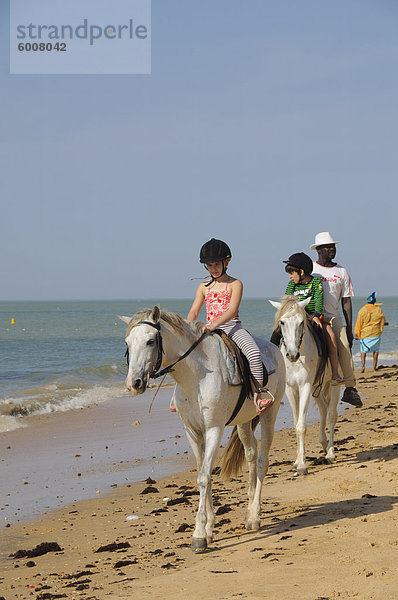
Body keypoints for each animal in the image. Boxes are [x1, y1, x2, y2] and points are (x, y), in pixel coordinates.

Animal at [119, 308, 286, 552]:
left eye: (150, 341)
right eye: (128, 343)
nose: (134, 384)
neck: (195, 376)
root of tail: (273, 348)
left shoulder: (213, 429)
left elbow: (204, 478)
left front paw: (198, 534)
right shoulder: (192, 432)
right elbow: (202, 473)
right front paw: (208, 530)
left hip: (268, 415)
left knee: (263, 460)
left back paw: (255, 515)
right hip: (244, 421)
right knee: (251, 454)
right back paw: (249, 510)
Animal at [268, 298, 340, 476]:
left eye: (301, 322)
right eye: (282, 322)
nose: (293, 355)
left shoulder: (305, 386)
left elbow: (301, 425)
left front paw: (302, 465)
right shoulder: (290, 389)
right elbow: (295, 424)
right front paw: (296, 461)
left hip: (333, 383)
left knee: (332, 414)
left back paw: (330, 452)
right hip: (317, 388)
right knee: (323, 407)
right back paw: (324, 443)